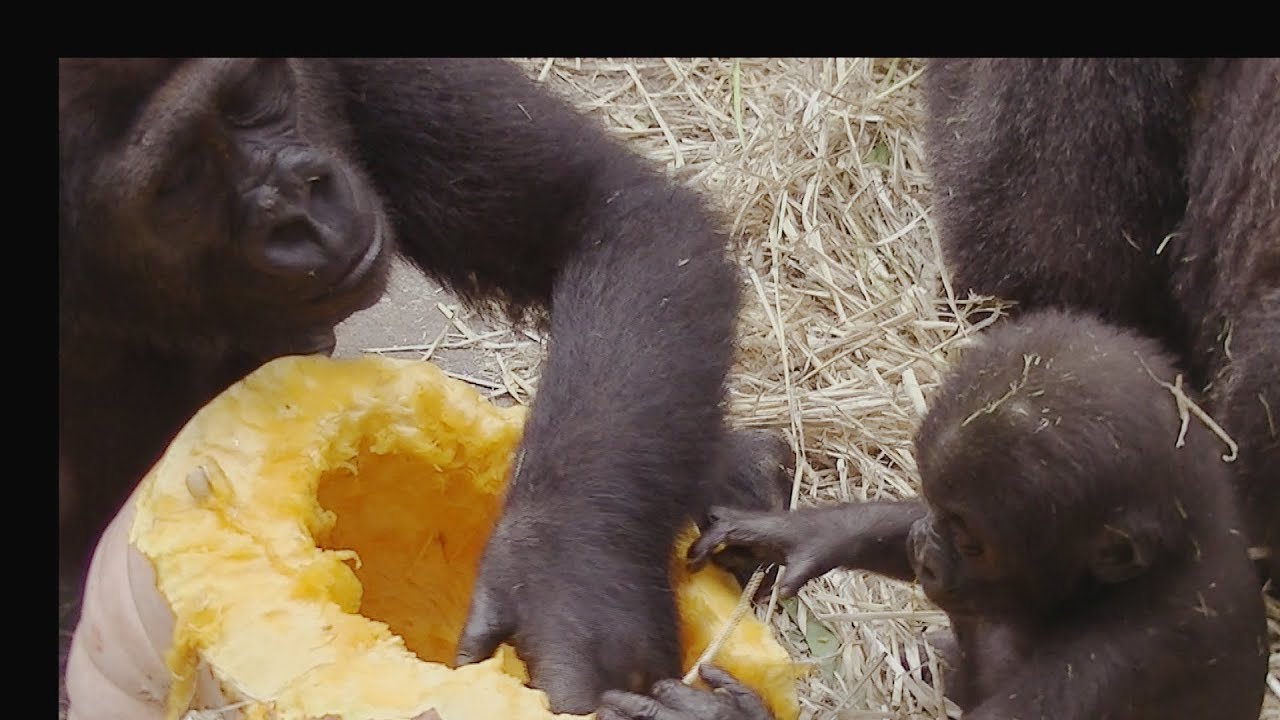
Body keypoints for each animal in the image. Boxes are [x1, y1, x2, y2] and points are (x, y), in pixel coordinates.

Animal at [607, 309, 1269, 720]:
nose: (929, 545)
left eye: (972, 541)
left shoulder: (1111, 664)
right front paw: (798, 532)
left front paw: (724, 712)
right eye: (936, 511)